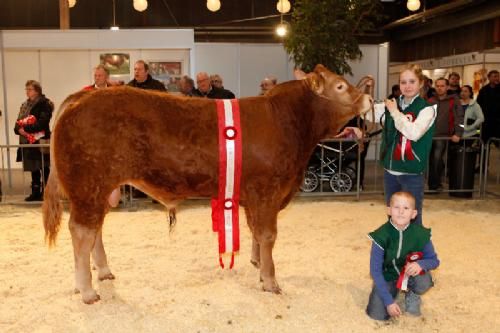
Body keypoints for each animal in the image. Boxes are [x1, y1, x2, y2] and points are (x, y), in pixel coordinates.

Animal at [43, 63, 374, 302]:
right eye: (340, 85)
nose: (369, 97)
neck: (288, 122)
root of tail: (83, 96)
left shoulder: (251, 195)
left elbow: (255, 232)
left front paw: (256, 264)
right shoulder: (267, 190)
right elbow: (268, 235)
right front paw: (271, 281)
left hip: (101, 190)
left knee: (95, 229)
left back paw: (103, 272)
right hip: (88, 186)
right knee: (82, 231)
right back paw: (87, 290)